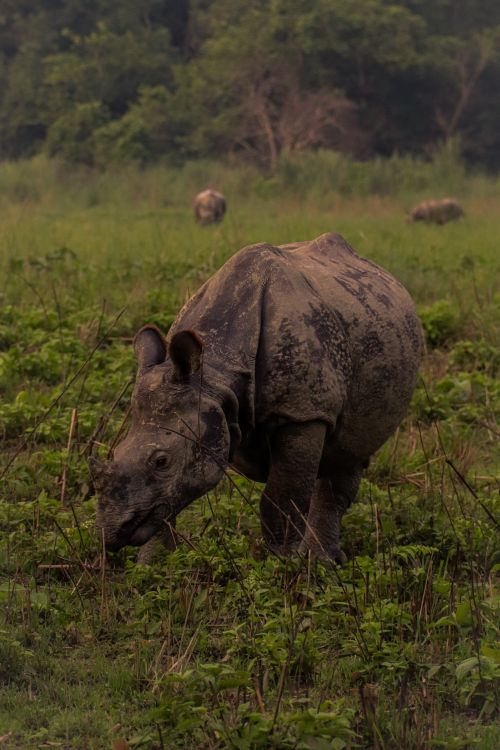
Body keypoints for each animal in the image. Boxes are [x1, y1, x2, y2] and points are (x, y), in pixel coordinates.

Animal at [91, 233, 423, 562]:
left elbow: (282, 499)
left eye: (161, 461)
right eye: (114, 453)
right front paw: (154, 566)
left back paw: (322, 563)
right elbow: (165, 508)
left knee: (349, 452)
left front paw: (284, 565)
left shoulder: (303, 412)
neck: (215, 374)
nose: (110, 533)